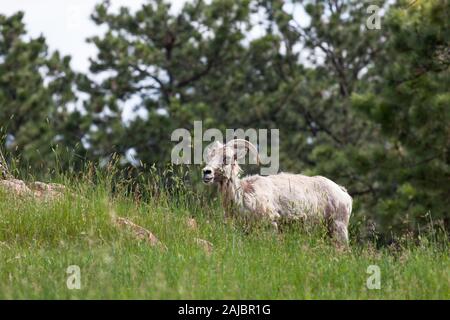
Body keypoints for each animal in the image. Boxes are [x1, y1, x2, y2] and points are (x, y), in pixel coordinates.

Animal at [202, 138, 354, 245]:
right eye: (210, 157)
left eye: (226, 158)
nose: (206, 172)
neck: (245, 194)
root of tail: (343, 193)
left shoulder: (271, 226)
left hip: (338, 228)